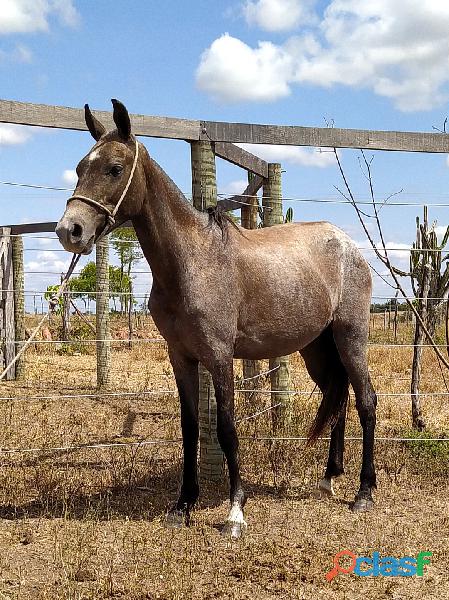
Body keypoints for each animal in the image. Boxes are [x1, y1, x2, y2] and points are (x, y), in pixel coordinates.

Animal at [57, 98, 378, 540]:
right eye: (78, 168)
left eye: (115, 169)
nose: (69, 230)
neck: (192, 261)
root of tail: (347, 244)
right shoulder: (182, 358)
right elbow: (190, 428)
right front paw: (182, 505)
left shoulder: (221, 357)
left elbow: (226, 429)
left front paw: (235, 511)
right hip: (318, 349)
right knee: (339, 397)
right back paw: (329, 478)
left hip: (351, 339)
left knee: (366, 401)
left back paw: (364, 493)